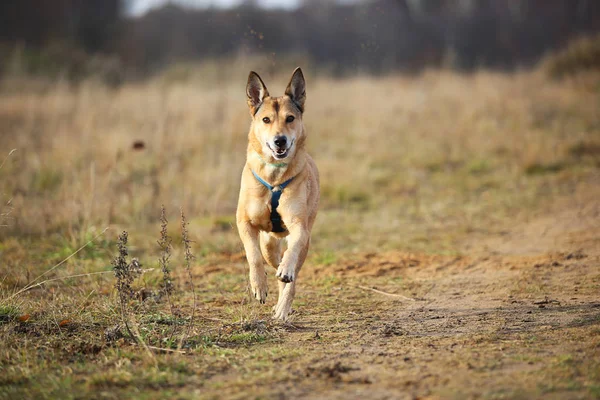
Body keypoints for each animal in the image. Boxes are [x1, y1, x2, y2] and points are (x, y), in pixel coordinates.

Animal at [236, 67, 322, 320]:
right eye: (266, 120)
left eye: (290, 118)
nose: (280, 140)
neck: (275, 177)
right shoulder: (244, 222)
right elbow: (253, 255)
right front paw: (258, 286)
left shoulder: (299, 226)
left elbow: (292, 252)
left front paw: (285, 272)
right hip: (269, 245)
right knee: (268, 256)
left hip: (304, 239)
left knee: (290, 274)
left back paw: (283, 307)